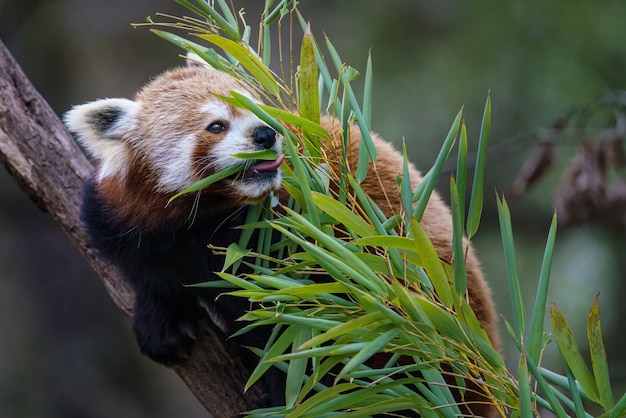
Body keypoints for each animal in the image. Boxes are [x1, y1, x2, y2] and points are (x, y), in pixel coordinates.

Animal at [66, 62, 500, 414]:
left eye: (255, 109)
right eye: (217, 125)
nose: (265, 133)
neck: (203, 219)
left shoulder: (298, 242)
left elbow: (298, 332)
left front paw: (283, 396)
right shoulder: (130, 225)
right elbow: (147, 274)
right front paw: (160, 323)